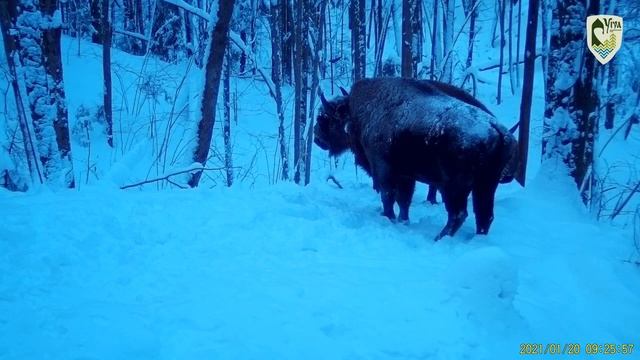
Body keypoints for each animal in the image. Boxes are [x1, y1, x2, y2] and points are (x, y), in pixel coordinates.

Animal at [316, 77, 520, 240]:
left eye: (326, 118)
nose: (317, 138)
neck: (357, 113)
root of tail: (497, 129)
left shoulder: (384, 170)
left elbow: (388, 196)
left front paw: (388, 218)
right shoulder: (406, 176)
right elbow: (404, 200)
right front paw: (402, 221)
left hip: (455, 187)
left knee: (458, 214)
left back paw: (439, 238)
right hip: (486, 185)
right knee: (484, 214)